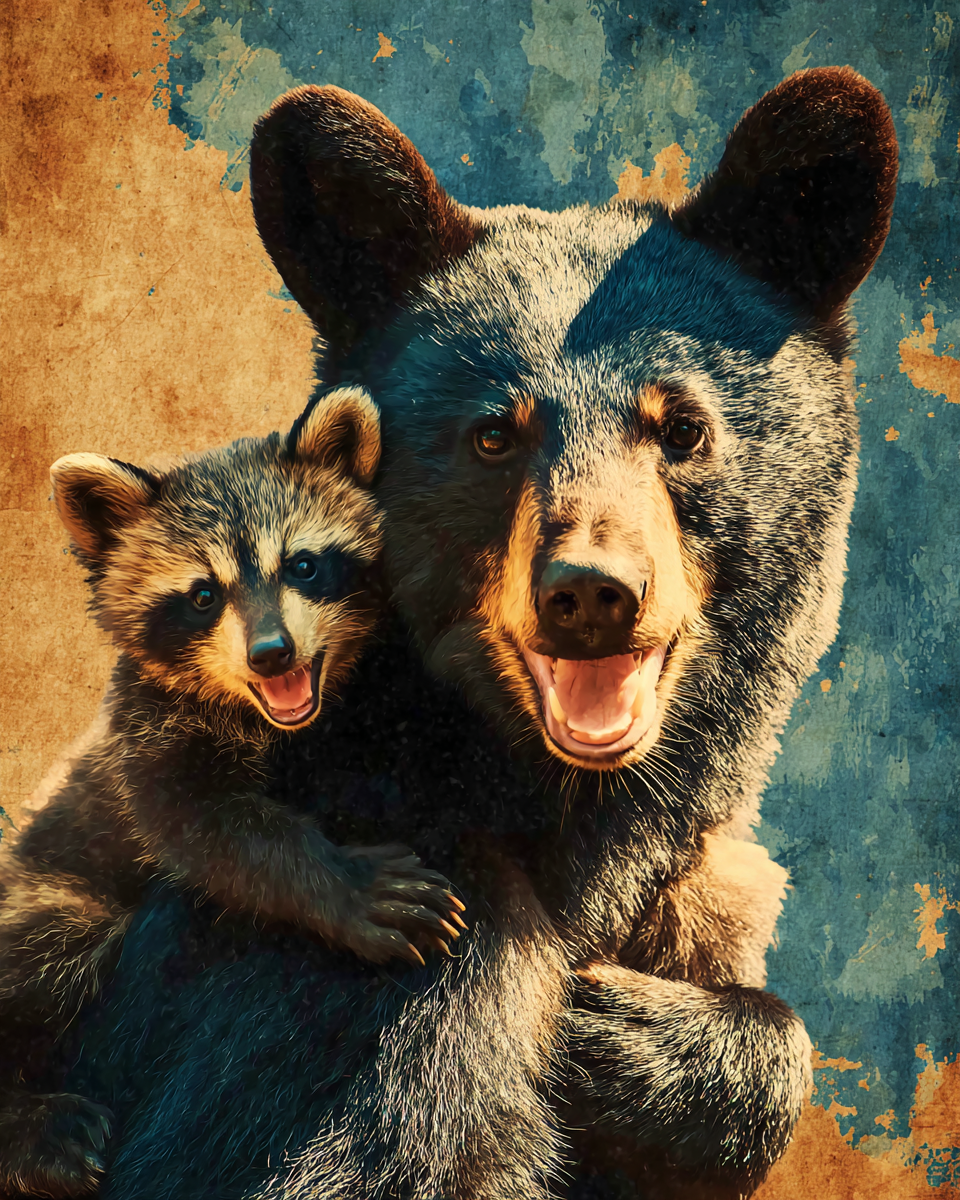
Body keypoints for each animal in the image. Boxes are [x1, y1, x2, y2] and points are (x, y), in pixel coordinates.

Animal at [0, 386, 464, 1199]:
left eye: (303, 565)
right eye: (202, 594)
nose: (272, 653)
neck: (261, 710)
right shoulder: (143, 739)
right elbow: (212, 829)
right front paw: (340, 883)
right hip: (47, 891)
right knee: (50, 951)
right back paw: (28, 1124)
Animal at [52, 66, 897, 1200]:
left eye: (684, 428)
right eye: (495, 434)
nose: (592, 593)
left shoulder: (701, 894)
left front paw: (626, 1039)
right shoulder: (376, 953)